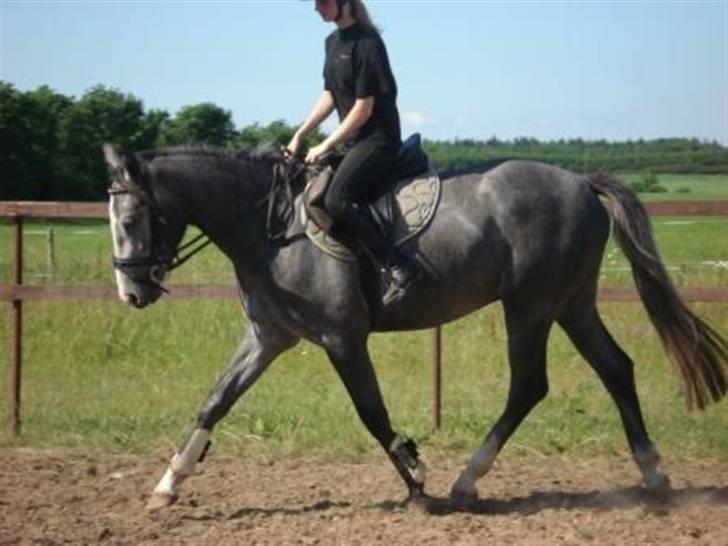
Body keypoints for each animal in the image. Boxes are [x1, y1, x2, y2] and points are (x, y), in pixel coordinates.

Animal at [104, 142, 728, 508]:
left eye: (131, 219)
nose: (131, 294)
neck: (272, 228)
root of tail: (580, 184)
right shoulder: (267, 338)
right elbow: (214, 403)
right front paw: (167, 486)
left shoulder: (343, 339)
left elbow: (372, 414)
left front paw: (416, 479)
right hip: (570, 302)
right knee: (615, 368)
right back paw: (653, 476)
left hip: (530, 305)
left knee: (530, 384)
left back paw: (466, 481)